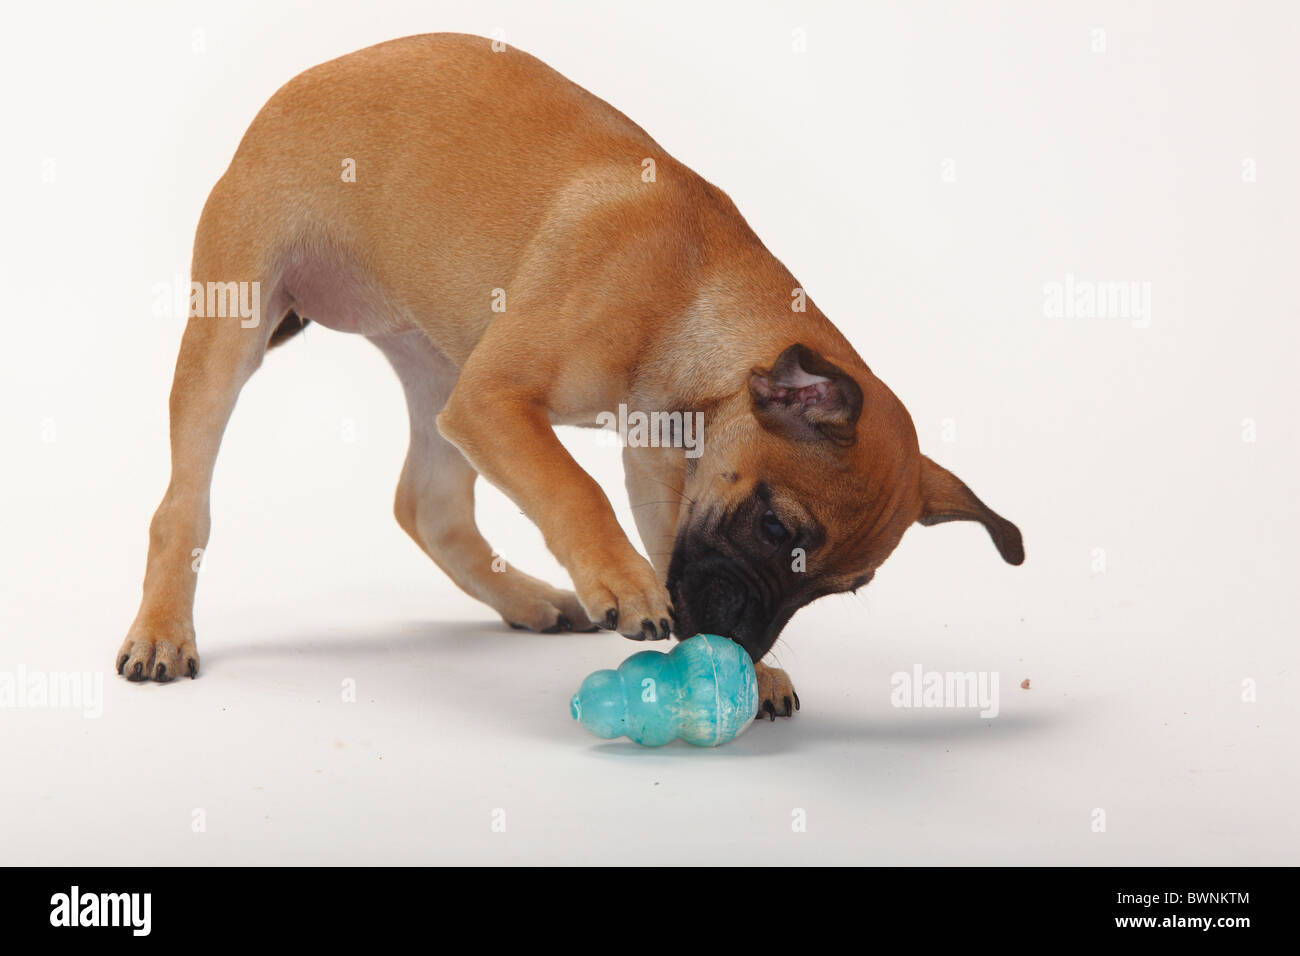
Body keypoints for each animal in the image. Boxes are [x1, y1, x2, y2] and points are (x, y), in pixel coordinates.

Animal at [116, 31, 1019, 717]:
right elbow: (572, 488)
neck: (692, 284)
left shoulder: (659, 466)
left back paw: (532, 600)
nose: (741, 642)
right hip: (235, 334)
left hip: (437, 366)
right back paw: (162, 630)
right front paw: (624, 584)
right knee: (180, 506)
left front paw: (736, 663)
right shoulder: (499, 404)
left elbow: (661, 537)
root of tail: (297, 84)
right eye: (775, 530)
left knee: (430, 505)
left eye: (839, 589)